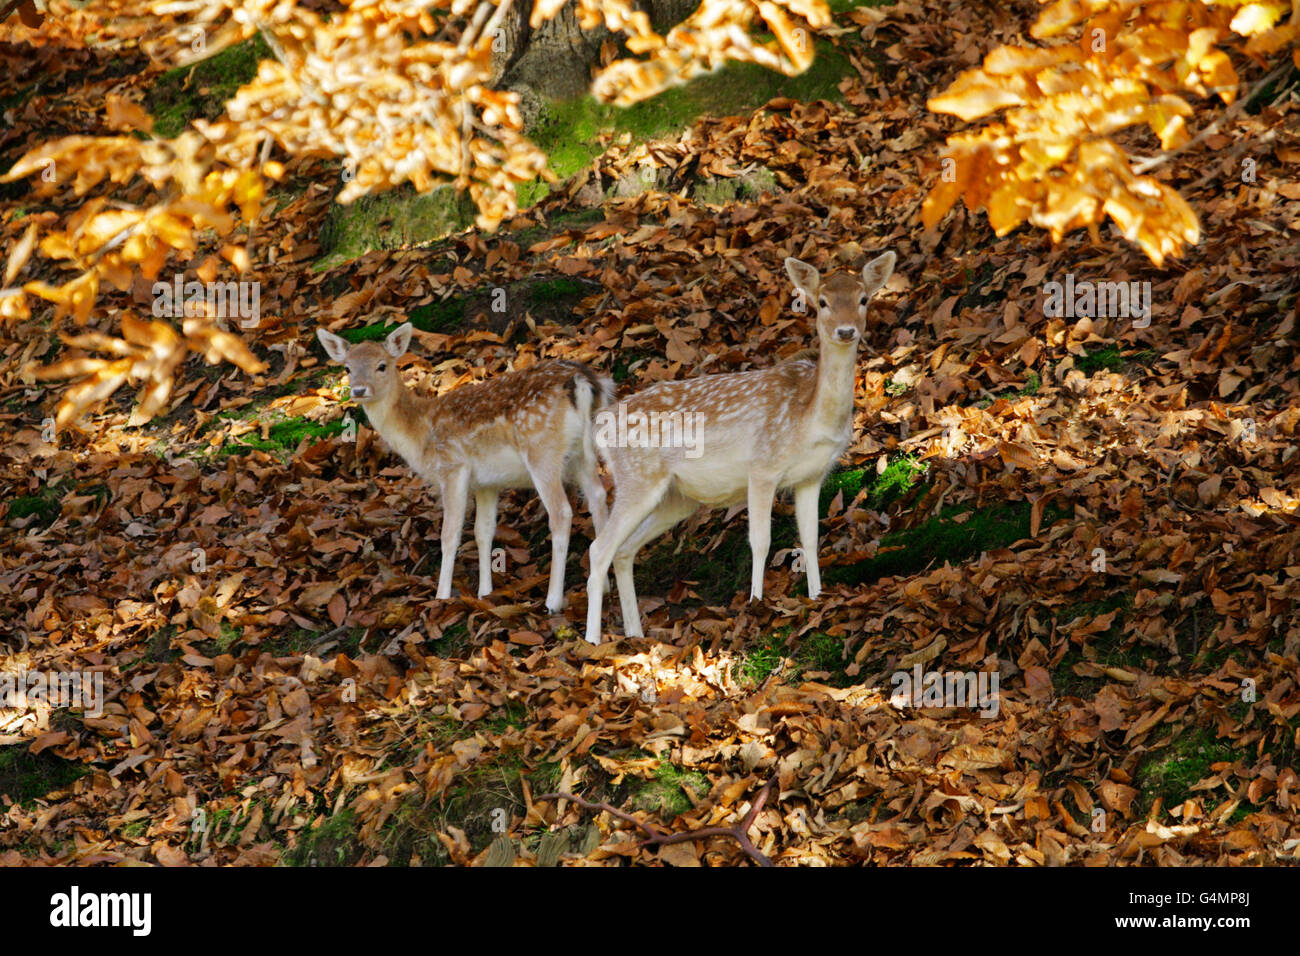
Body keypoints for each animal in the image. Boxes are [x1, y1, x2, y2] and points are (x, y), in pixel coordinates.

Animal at [318, 325, 613, 616]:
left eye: (382, 365)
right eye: (347, 368)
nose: (358, 390)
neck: (421, 432)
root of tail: (582, 382)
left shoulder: (452, 466)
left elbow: (449, 534)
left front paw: (441, 596)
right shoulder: (486, 483)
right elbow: (483, 532)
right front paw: (485, 593)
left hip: (542, 449)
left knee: (562, 512)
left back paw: (553, 601)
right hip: (581, 451)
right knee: (599, 496)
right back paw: (606, 580)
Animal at [587, 251, 899, 647]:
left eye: (863, 299)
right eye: (823, 301)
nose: (846, 331)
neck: (809, 421)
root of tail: (599, 425)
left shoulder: (811, 476)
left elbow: (811, 538)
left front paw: (816, 597)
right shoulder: (763, 466)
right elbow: (761, 541)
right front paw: (756, 604)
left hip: (675, 497)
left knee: (624, 550)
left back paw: (635, 634)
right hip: (637, 476)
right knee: (599, 549)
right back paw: (593, 641)